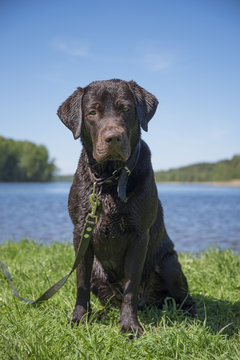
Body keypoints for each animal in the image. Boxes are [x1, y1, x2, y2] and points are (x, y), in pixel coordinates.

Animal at [57, 79, 196, 334]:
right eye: (92, 112)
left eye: (125, 108)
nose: (113, 137)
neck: (111, 180)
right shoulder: (81, 233)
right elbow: (81, 283)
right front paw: (79, 318)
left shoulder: (138, 235)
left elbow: (131, 287)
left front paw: (130, 326)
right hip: (98, 272)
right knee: (111, 297)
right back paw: (101, 314)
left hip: (169, 263)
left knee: (184, 298)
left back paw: (188, 316)